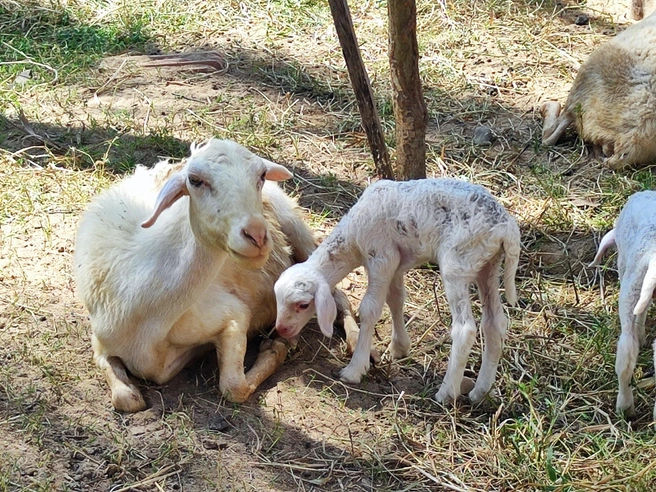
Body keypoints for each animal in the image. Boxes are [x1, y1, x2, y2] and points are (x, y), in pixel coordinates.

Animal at [74, 137, 362, 412]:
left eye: (260, 175)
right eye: (195, 180)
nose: (257, 235)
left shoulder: (234, 315)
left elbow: (234, 387)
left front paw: (276, 347)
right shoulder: (100, 340)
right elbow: (126, 399)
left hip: (295, 225)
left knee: (338, 294)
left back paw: (357, 344)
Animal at [274, 178, 520, 404]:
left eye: (303, 305)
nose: (281, 329)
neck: (352, 240)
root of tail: (506, 227)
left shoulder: (381, 257)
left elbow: (370, 309)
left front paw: (355, 369)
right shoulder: (396, 262)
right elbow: (396, 299)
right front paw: (400, 347)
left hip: (458, 262)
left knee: (465, 328)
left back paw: (446, 393)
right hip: (488, 264)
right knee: (494, 323)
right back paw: (481, 391)